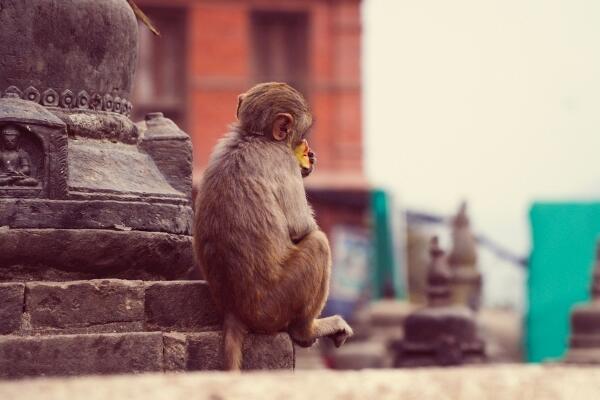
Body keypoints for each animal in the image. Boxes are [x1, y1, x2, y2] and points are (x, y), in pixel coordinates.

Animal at [193, 82, 352, 372]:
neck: (253, 136)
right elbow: (301, 227)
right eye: (302, 134)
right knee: (319, 243)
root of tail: (234, 311)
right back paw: (306, 331)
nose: (309, 151)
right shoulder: (282, 160)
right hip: (275, 306)